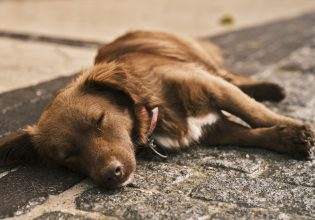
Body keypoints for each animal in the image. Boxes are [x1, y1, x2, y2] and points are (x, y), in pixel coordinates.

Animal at [0, 31, 315, 188]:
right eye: (67, 156)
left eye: (100, 120)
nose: (110, 175)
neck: (154, 108)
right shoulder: (215, 129)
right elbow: (250, 134)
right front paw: (288, 139)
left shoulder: (210, 84)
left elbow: (254, 112)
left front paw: (295, 128)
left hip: (203, 60)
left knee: (233, 77)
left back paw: (272, 89)